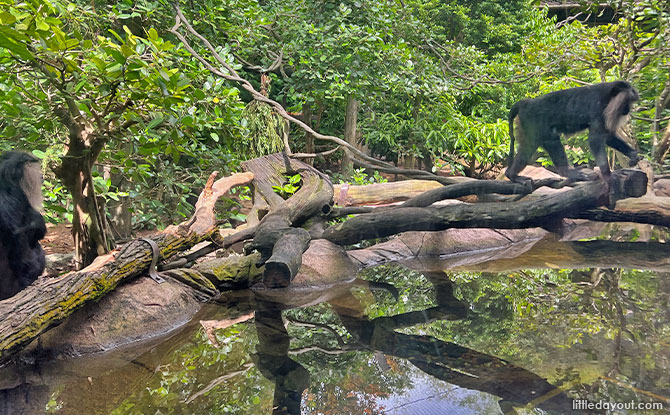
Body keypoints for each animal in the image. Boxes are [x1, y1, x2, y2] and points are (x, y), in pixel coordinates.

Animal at [506, 82, 644, 183]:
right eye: (627, 102)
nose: (627, 110)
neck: (607, 96)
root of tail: (526, 103)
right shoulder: (598, 108)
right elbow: (595, 140)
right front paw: (607, 175)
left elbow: (608, 137)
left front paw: (633, 154)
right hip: (533, 121)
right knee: (550, 140)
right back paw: (568, 173)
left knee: (528, 147)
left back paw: (511, 175)